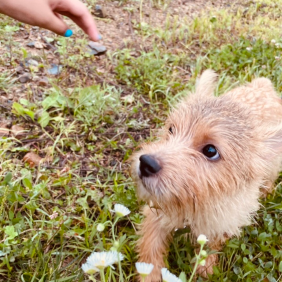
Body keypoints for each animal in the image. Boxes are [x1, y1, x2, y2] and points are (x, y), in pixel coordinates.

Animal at [131, 69, 282, 280]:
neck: (193, 205)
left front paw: (205, 267)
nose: (146, 163)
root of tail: (264, 85)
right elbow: (150, 247)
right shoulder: (155, 214)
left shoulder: (224, 221)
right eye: (171, 129)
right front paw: (149, 275)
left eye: (211, 151)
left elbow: (211, 244)